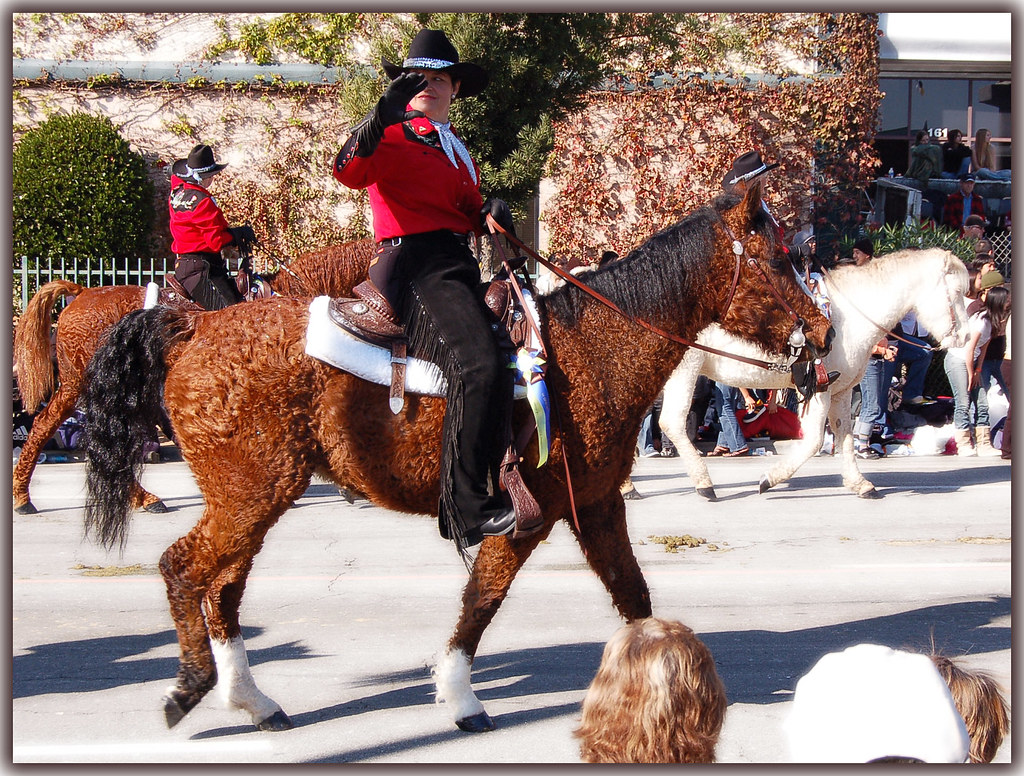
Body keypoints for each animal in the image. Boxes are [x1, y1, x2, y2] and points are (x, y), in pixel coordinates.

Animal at [79, 182, 831, 737]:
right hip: (251, 493)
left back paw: (253, 700)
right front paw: (460, 696)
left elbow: (634, 597)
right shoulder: (528, 513)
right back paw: (191, 686)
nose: (824, 333)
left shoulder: (593, 504)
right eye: (775, 258)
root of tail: (194, 324)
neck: (592, 349)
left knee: (224, 588)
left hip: (252, 496)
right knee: (184, 569)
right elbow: (483, 598)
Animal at [655, 250, 966, 503]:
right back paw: (704, 484)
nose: (964, 336)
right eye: (957, 293)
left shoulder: (840, 391)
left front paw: (860, 484)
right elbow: (815, 440)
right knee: (671, 422)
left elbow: (844, 434)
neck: (850, 317)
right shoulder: (820, 389)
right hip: (685, 369)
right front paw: (769, 479)